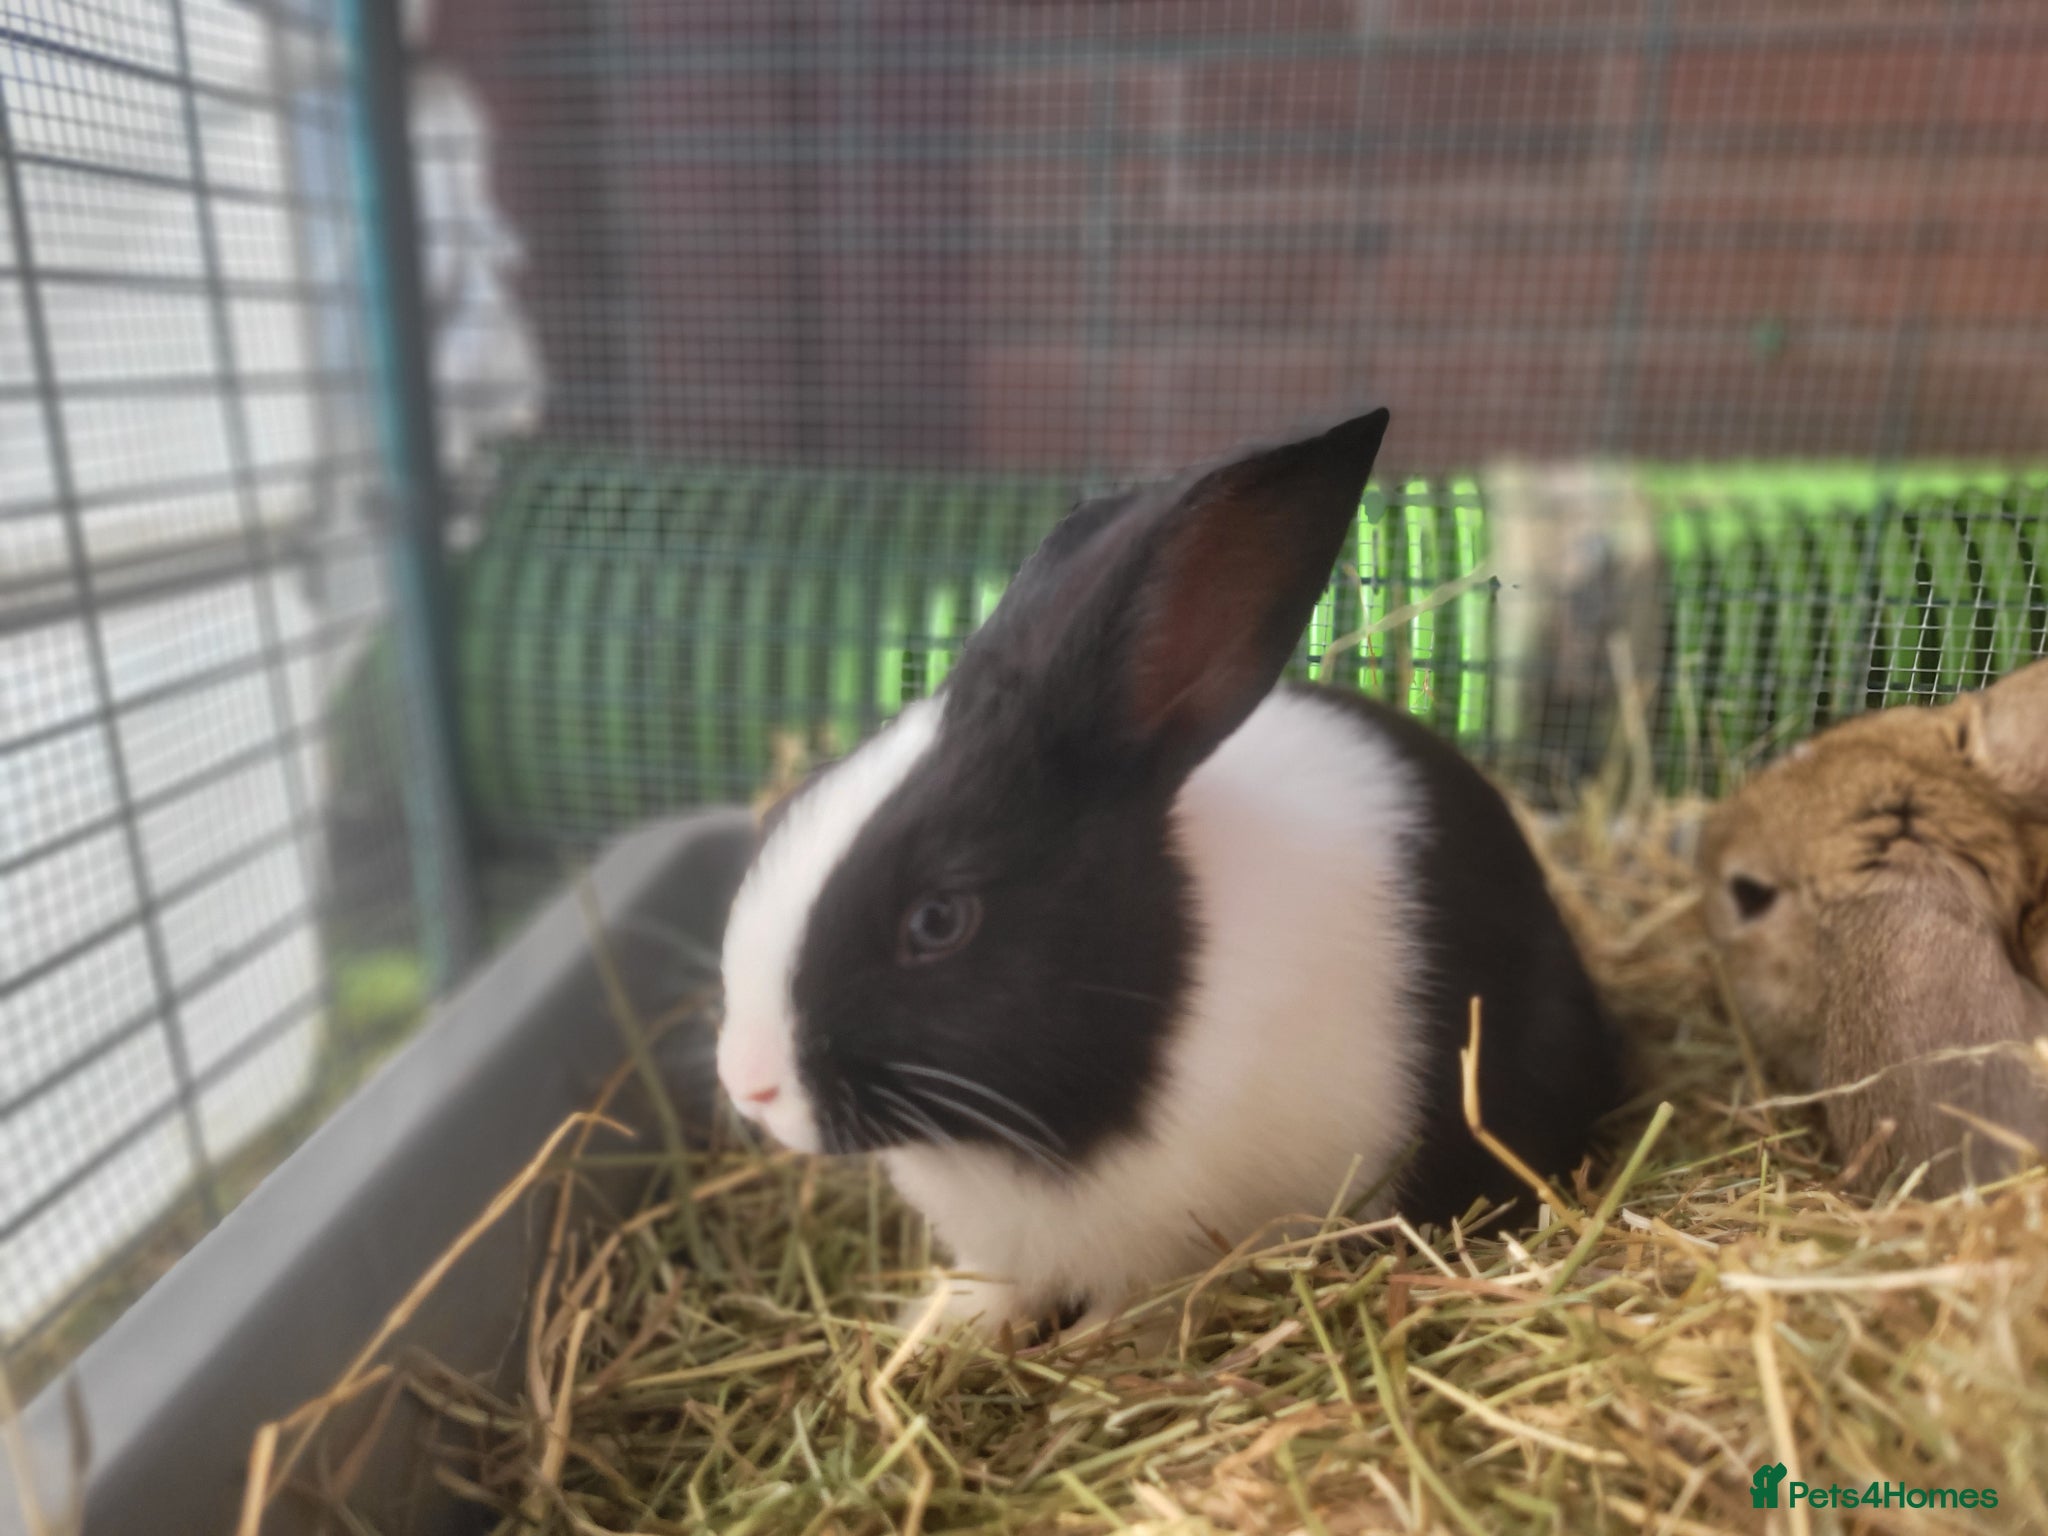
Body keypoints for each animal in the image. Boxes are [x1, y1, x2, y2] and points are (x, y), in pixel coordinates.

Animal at [716, 410, 1625, 1335]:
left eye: (938, 921)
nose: (746, 1084)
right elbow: (996, 1287)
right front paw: (941, 1329)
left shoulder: (1166, 1250)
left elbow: (1131, 1312)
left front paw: (1088, 1346)